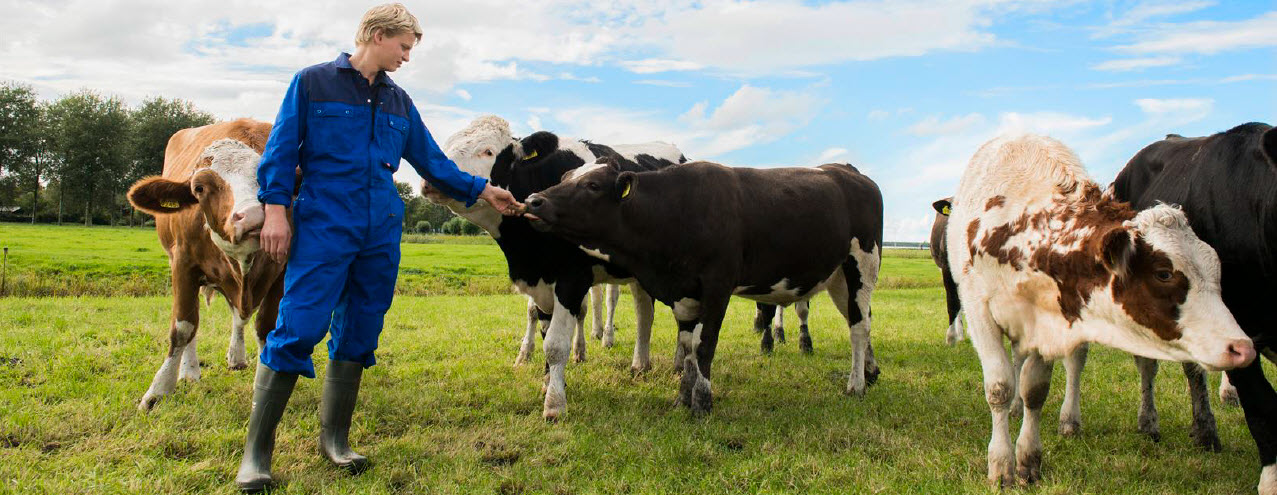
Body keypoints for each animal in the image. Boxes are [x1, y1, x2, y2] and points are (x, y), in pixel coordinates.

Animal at [126, 119, 288, 411]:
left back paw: (236, 357)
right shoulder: (183, 265)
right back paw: (189, 371)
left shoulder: (281, 270)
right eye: (199, 188)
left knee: (238, 316)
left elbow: (266, 327)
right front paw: (158, 391)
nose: (254, 216)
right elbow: (183, 326)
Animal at [431, 116, 685, 419]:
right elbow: (544, 332)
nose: (431, 178)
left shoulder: (571, 279)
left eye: (488, 151)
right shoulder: (542, 281)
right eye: (445, 145)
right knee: (643, 311)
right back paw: (639, 364)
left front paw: (554, 404)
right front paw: (547, 381)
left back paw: (676, 364)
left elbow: (555, 344)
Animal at [524, 159, 884, 415]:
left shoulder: (717, 288)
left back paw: (856, 385)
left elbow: (703, 346)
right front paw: (682, 397)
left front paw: (702, 401)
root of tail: (849, 173)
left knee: (859, 327)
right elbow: (686, 348)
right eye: (565, 178)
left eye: (593, 185)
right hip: (839, 278)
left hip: (862, 263)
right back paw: (870, 371)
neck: (676, 210)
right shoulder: (683, 293)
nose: (533, 200)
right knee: (862, 318)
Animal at [947, 133, 1255, 486]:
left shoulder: (1046, 320)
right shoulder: (979, 311)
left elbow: (1035, 390)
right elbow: (999, 387)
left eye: (1216, 269)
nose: (1242, 348)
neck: (1025, 231)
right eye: (1163, 273)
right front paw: (1001, 465)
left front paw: (1028, 459)